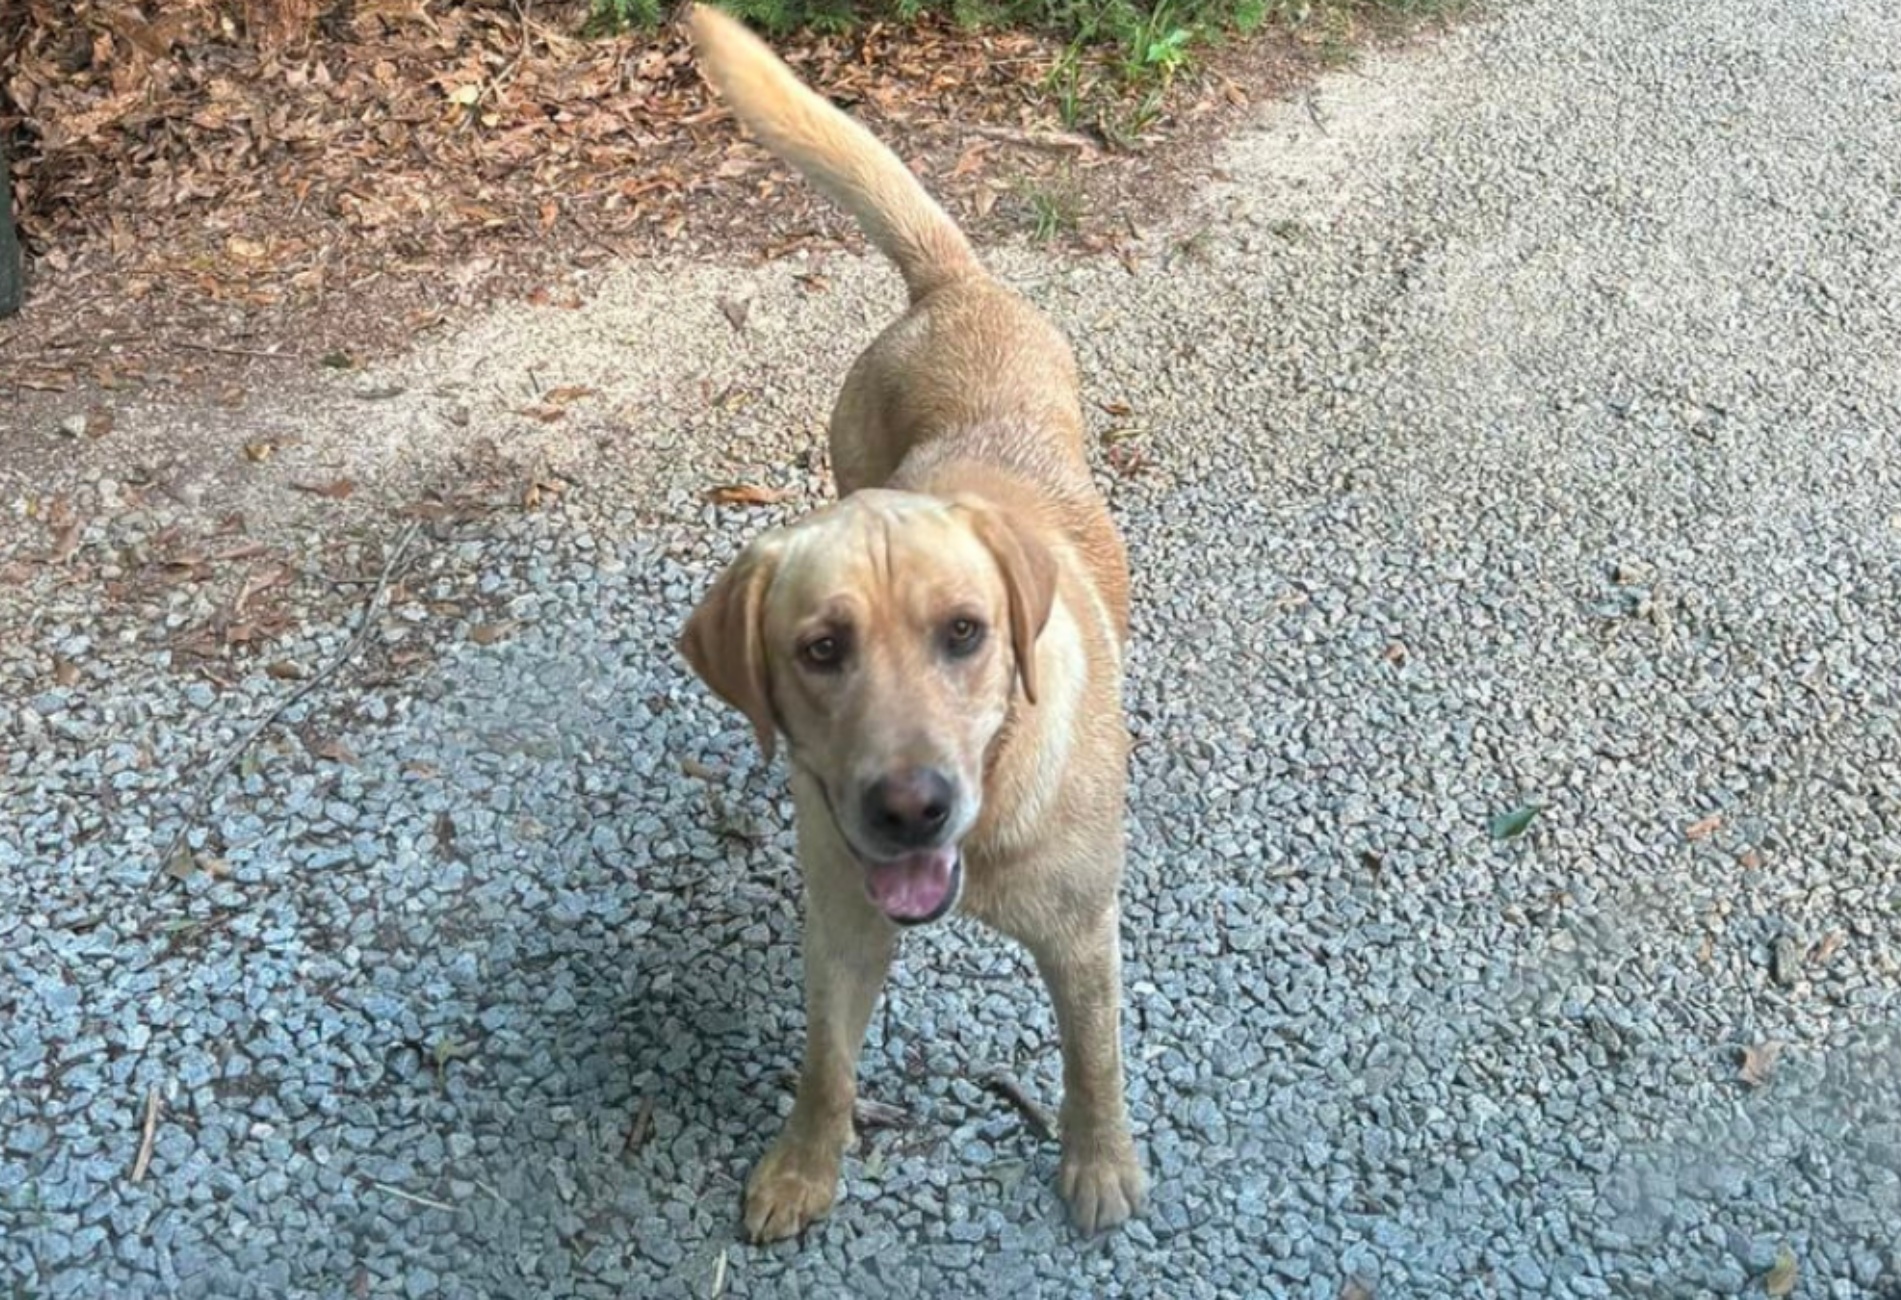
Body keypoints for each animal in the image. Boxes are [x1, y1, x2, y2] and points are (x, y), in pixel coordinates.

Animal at [680, 7, 1140, 1246]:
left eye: (966, 632)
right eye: (819, 649)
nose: (907, 806)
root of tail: (951, 282)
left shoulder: (1082, 935)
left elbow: (1092, 1060)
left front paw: (1098, 1163)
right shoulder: (841, 920)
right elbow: (825, 1062)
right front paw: (803, 1166)